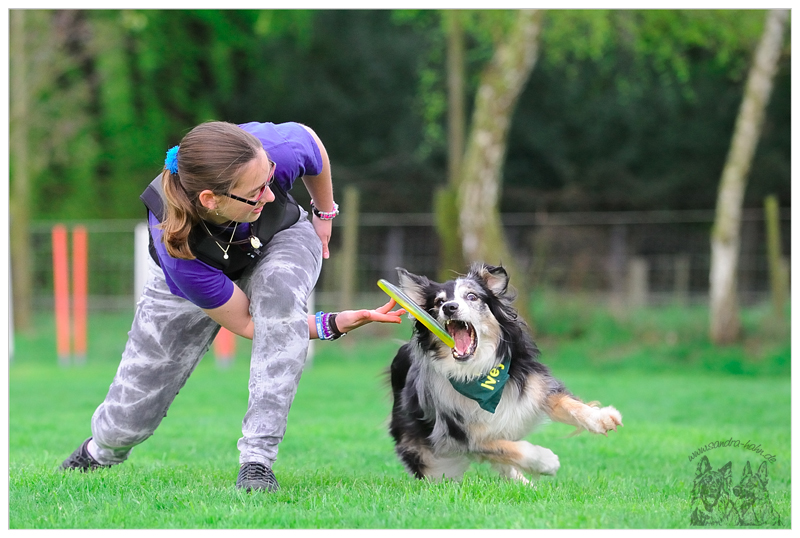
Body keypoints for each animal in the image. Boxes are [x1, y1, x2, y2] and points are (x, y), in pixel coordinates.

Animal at [390, 262, 620, 480]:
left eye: (472, 296)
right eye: (438, 302)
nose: (449, 307)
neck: (478, 371)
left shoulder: (535, 384)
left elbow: (568, 403)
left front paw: (601, 418)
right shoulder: (460, 436)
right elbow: (507, 448)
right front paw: (545, 461)